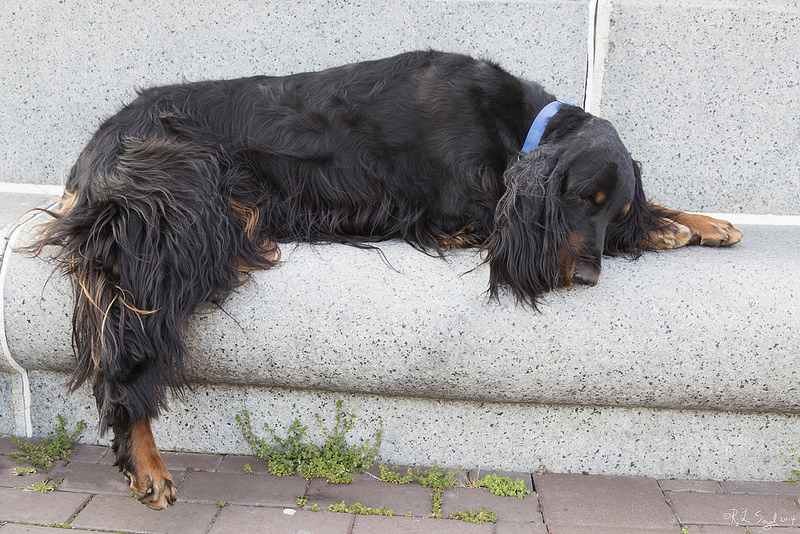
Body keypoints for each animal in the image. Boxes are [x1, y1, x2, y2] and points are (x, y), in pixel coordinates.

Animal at [26, 50, 744, 510]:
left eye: (611, 209)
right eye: (580, 198)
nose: (590, 275)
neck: (517, 125)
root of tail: (94, 151)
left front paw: (698, 223)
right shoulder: (464, 211)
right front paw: (676, 228)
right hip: (177, 210)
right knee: (128, 339)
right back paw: (146, 462)